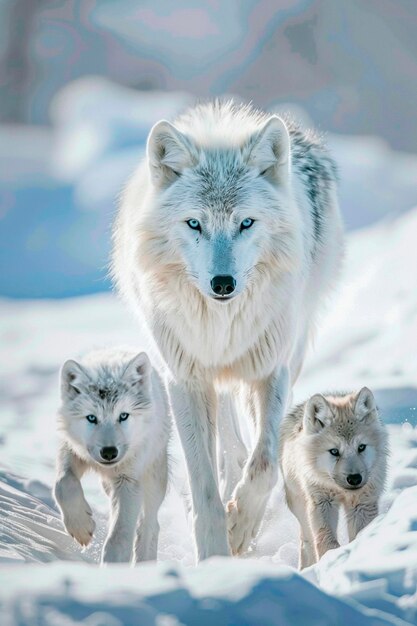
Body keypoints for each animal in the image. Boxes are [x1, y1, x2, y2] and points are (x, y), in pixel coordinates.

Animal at [112, 100, 342, 560]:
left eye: (246, 223)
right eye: (194, 224)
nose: (223, 284)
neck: (220, 325)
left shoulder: (271, 371)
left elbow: (264, 464)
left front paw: (240, 527)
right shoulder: (185, 378)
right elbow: (203, 483)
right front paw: (216, 550)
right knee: (228, 441)